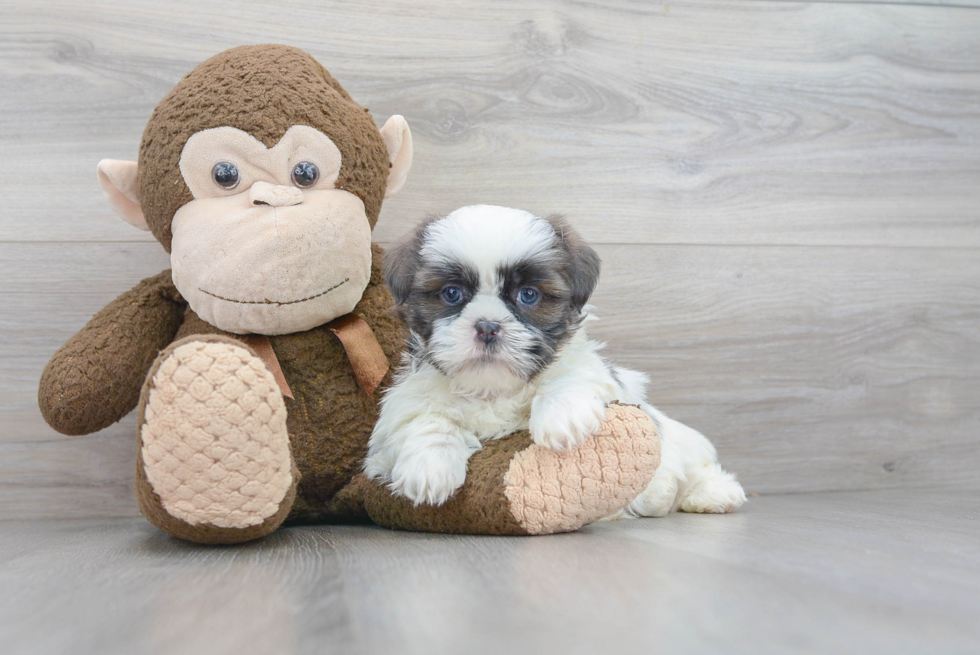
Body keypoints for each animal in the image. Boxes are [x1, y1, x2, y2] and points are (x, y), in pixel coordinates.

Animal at [364, 206, 748, 516]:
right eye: (451, 294)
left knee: (695, 469)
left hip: (684, 448)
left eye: (528, 295)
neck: (493, 391)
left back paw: (713, 493)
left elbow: (571, 376)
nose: (487, 327)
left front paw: (562, 418)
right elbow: (426, 420)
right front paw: (430, 467)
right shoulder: (402, 409)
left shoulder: (599, 377)